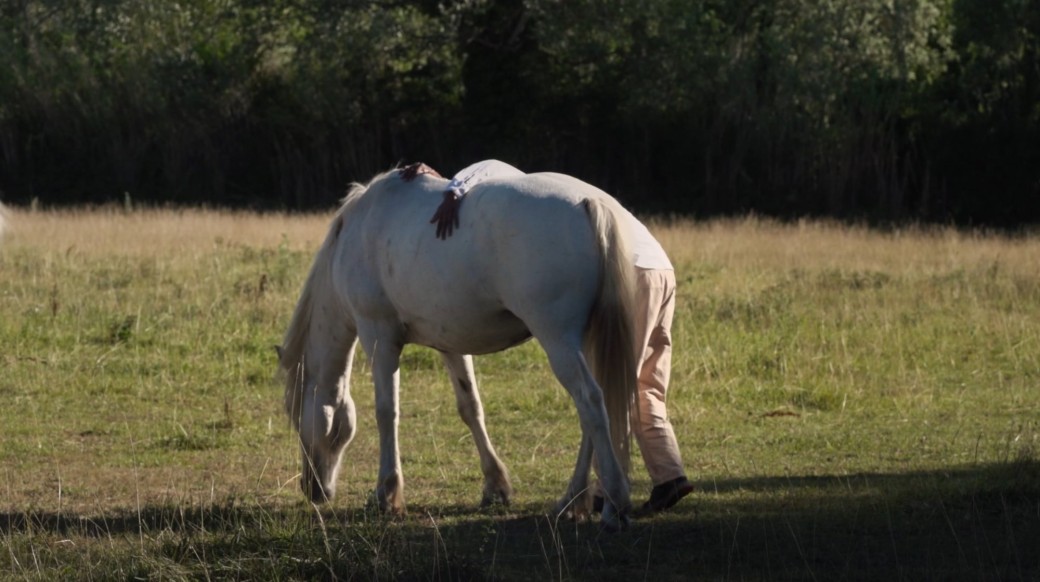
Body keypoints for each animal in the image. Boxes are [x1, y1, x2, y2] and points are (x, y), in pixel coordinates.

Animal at [276, 167, 636, 527]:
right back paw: (572, 500)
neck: (358, 230)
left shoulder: (378, 337)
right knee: (595, 409)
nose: (312, 489)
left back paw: (613, 500)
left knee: (590, 401)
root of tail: (590, 202)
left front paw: (387, 493)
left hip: (558, 339)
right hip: (582, 340)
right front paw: (495, 486)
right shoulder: (450, 343)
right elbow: (470, 407)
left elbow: (386, 411)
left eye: (295, 414)